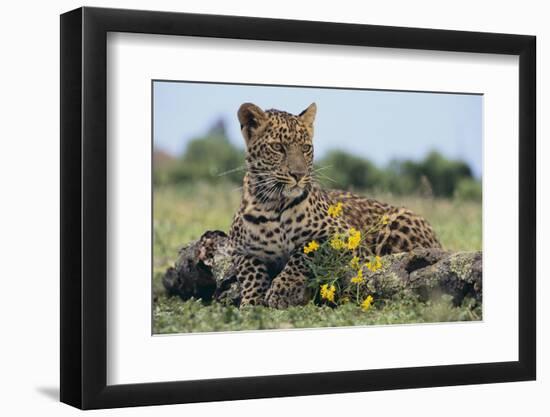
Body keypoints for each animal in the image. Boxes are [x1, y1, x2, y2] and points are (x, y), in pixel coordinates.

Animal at [231, 102, 442, 308]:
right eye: (277, 147)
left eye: (306, 148)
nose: (299, 175)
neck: (274, 203)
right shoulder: (236, 248)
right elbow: (250, 269)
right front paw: (252, 301)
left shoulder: (345, 236)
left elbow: (306, 252)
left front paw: (282, 290)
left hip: (400, 221)